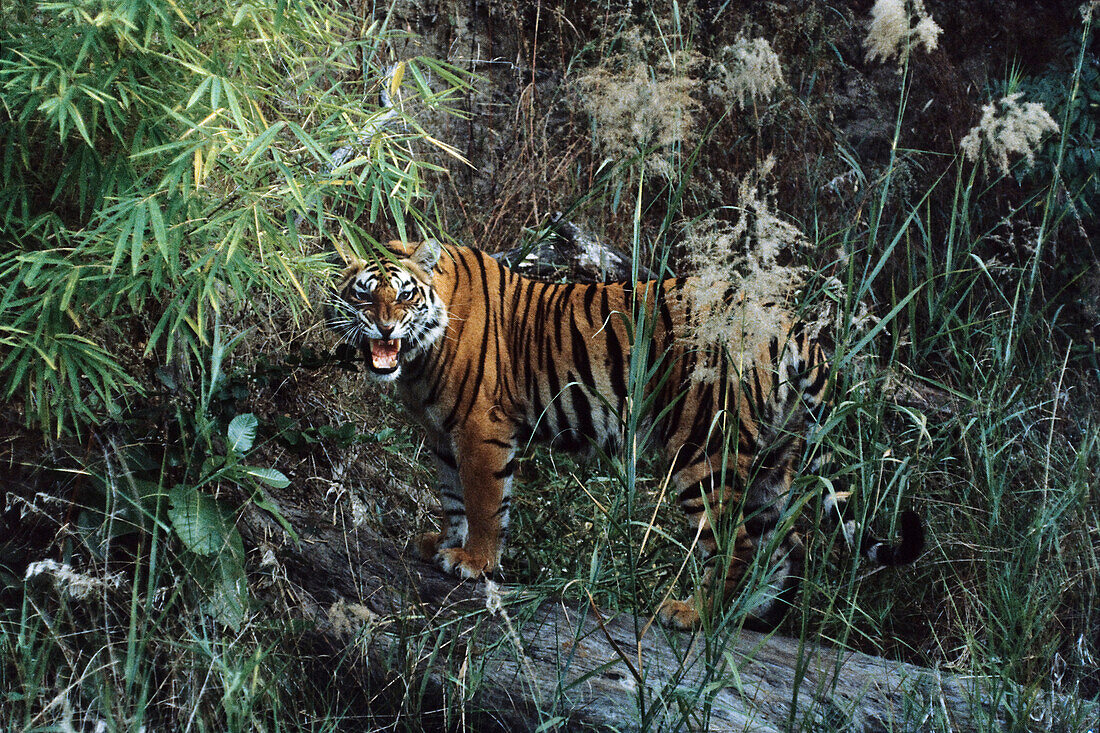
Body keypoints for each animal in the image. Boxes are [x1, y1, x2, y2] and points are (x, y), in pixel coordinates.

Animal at [321, 236, 924, 625]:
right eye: (362, 293)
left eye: (404, 295)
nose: (384, 326)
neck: (417, 360)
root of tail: (784, 319)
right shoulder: (442, 437)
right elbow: (452, 500)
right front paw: (445, 545)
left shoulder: (479, 431)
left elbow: (485, 502)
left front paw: (475, 563)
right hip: (772, 457)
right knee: (783, 542)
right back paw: (756, 616)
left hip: (704, 453)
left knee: (735, 546)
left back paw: (692, 614)